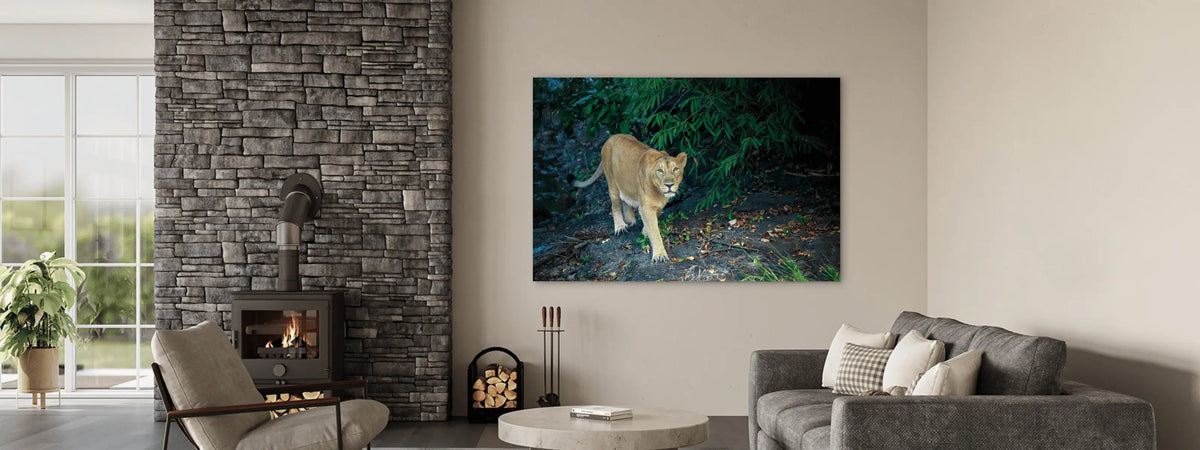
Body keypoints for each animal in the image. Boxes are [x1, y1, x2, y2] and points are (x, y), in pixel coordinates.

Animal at [573, 134, 687, 263]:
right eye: (660, 170)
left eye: (676, 169)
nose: (669, 185)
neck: (659, 193)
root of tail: (611, 138)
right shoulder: (646, 207)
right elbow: (655, 231)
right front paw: (659, 255)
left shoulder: (657, 206)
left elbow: (652, 223)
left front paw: (645, 231)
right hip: (612, 183)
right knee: (615, 206)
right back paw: (620, 227)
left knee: (625, 199)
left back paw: (630, 220)